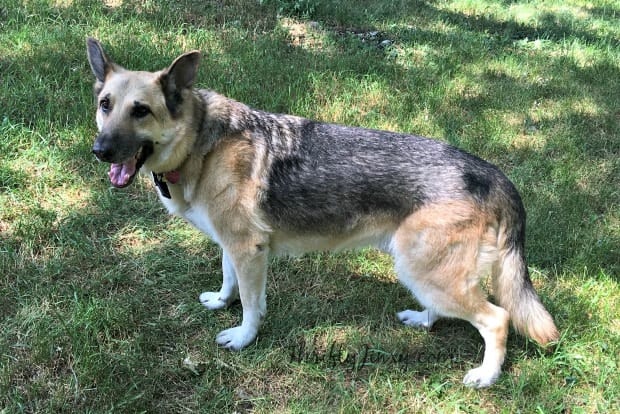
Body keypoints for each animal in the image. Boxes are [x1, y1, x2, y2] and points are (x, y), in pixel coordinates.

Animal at [86, 37, 556, 386]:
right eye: (105, 105)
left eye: (141, 111)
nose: (99, 151)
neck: (202, 140)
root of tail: (490, 173)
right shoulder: (232, 245)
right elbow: (227, 279)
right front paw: (220, 301)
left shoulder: (249, 250)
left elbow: (251, 304)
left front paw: (243, 338)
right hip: (422, 269)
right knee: (445, 307)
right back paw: (422, 320)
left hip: (427, 269)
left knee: (497, 319)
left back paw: (486, 375)